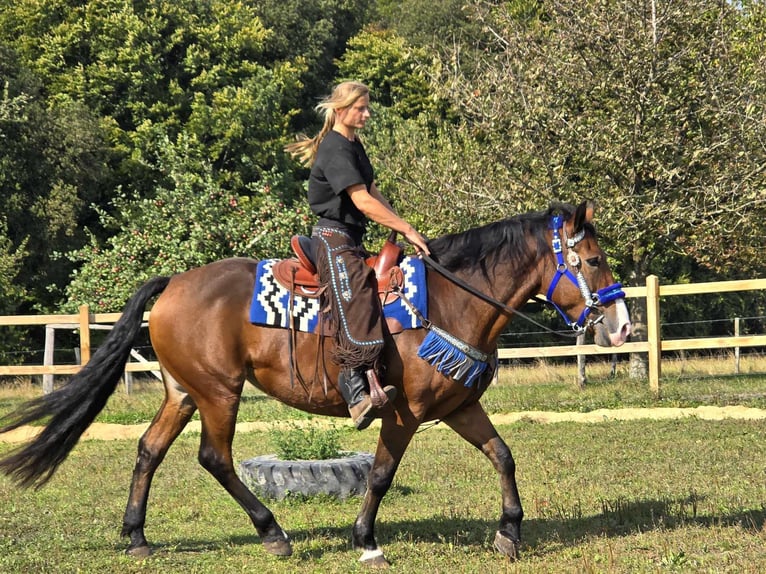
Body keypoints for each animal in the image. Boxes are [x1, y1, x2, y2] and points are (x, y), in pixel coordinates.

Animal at [0, 200, 632, 568]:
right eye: (593, 260)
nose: (623, 326)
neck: (450, 303)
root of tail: (175, 281)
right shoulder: (402, 414)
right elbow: (379, 474)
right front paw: (366, 540)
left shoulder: (457, 405)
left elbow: (503, 455)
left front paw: (509, 532)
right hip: (219, 393)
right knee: (214, 458)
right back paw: (272, 533)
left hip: (182, 393)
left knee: (148, 451)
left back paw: (136, 536)